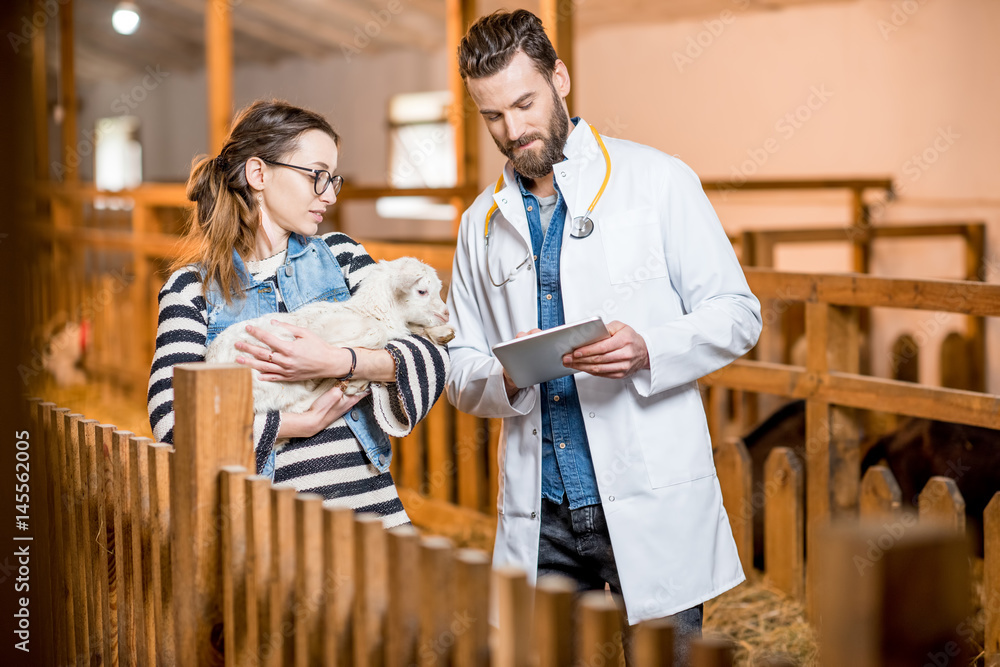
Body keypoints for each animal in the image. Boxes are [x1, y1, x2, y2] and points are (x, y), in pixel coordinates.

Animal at [207, 258, 454, 414]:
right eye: (422, 291)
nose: (446, 313)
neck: (369, 312)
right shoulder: (324, 334)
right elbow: (377, 335)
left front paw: (442, 333)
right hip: (274, 378)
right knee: (299, 405)